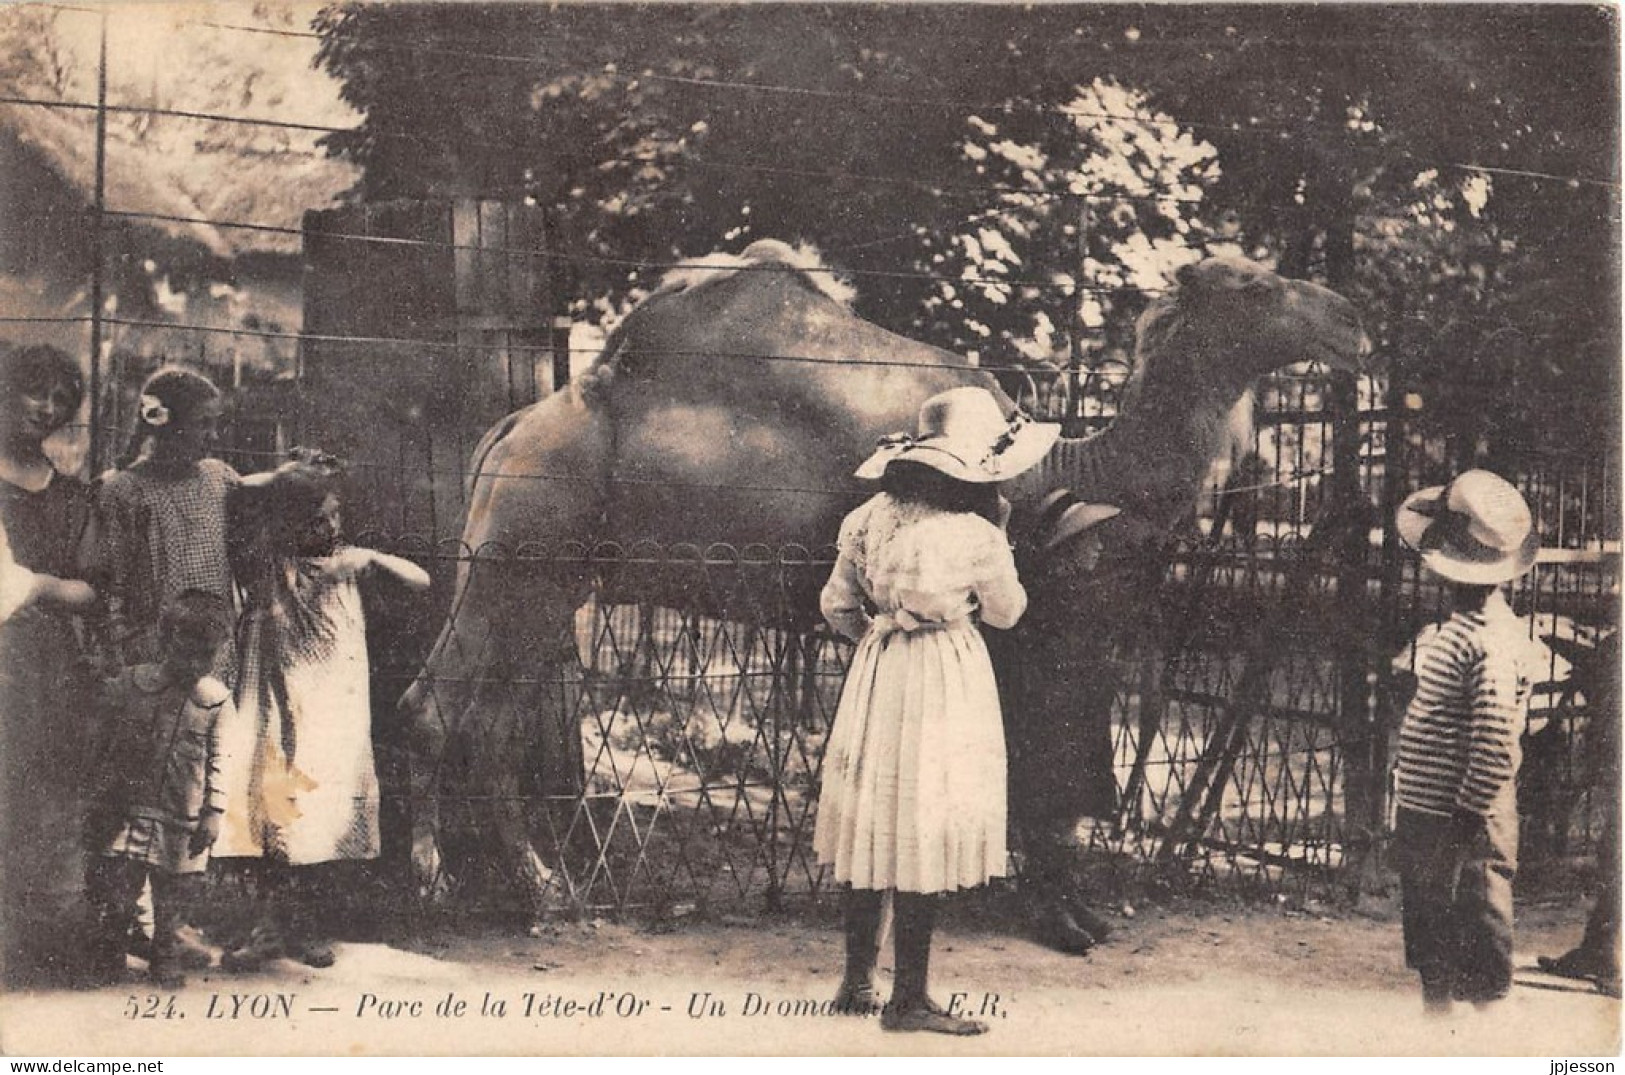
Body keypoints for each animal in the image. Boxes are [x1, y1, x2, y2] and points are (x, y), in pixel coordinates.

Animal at [399, 240, 1365, 948]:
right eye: (1251, 284)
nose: (1351, 319)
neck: (1069, 467)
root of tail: (513, 424)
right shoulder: (1017, 625)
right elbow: (1027, 767)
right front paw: (1042, 911)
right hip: (524, 550)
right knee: (436, 711)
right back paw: (444, 889)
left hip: (546, 577)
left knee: (487, 723)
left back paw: (530, 893)